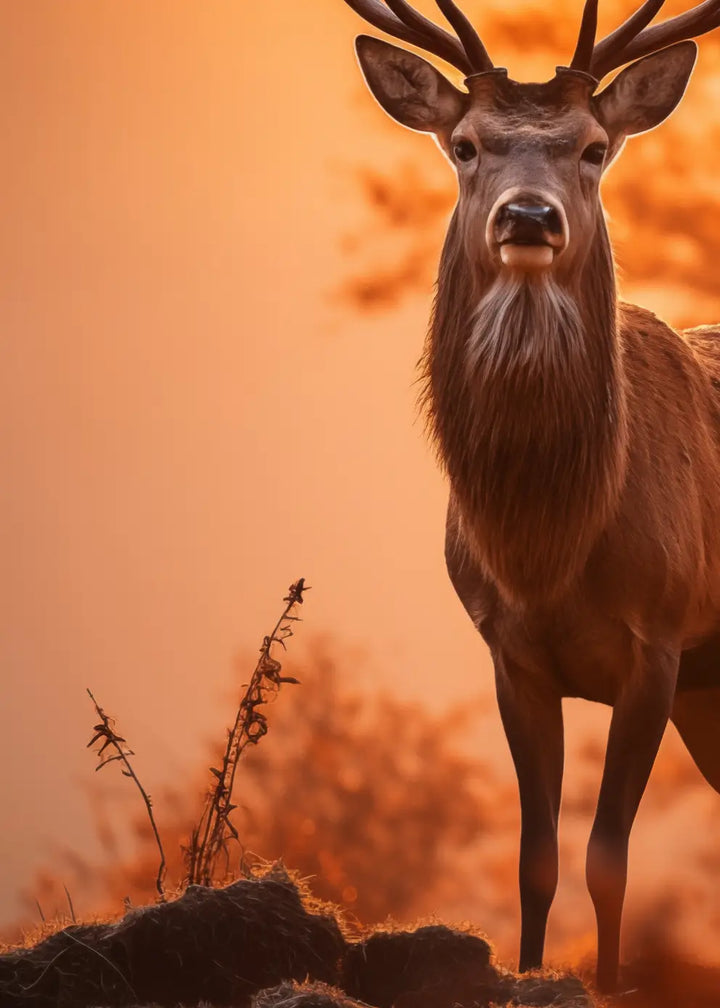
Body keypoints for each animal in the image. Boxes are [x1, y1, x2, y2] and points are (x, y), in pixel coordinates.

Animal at [337, 0, 720, 993]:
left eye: (593, 147)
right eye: (467, 145)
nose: (529, 216)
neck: (552, 547)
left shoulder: (660, 638)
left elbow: (608, 856)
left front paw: (613, 984)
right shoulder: (510, 653)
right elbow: (536, 857)